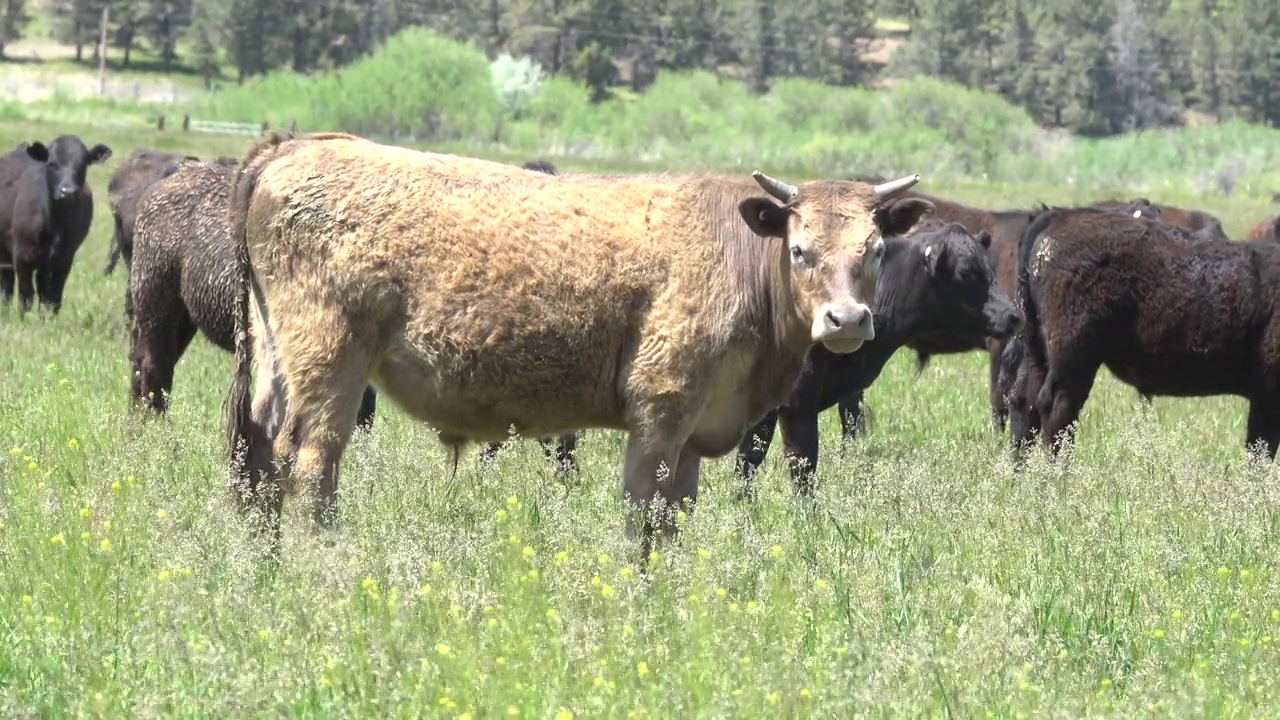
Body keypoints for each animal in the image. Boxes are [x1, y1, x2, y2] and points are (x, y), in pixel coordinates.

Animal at [0, 137, 111, 311]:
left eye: (83, 164)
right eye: (52, 164)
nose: (67, 191)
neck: (55, 223)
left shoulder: (63, 261)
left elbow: (53, 299)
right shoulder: (22, 257)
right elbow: (25, 298)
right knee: (7, 287)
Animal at [227, 131, 931, 550]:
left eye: (874, 249)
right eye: (801, 249)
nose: (846, 320)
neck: (738, 250)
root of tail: (289, 149)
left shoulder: (697, 431)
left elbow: (675, 518)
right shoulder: (659, 417)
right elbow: (643, 514)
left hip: (274, 359)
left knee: (259, 449)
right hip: (331, 363)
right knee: (312, 461)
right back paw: (321, 558)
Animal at [737, 219, 1024, 497]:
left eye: (990, 268)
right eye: (965, 271)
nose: (1013, 316)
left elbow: (749, 458)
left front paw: (745, 505)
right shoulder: (798, 400)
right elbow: (801, 462)